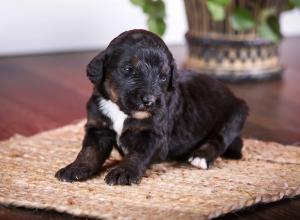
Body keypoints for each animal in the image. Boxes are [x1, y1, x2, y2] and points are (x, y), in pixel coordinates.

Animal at [54, 28, 248, 185]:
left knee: (220, 139)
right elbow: (89, 151)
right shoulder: (98, 128)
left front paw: (122, 172)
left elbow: (138, 154)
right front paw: (74, 169)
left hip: (235, 114)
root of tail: (234, 95)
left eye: (163, 76)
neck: (121, 111)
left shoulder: (154, 135)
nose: (150, 100)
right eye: (128, 69)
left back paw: (201, 156)